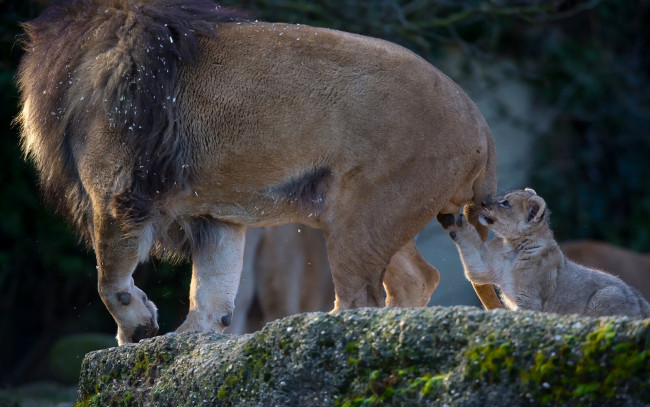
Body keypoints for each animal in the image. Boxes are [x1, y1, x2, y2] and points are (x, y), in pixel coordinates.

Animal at [17, 0, 498, 346]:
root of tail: (481, 125)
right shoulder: (210, 213)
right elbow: (212, 290)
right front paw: (188, 341)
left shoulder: (118, 193)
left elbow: (109, 281)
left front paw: (137, 330)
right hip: (366, 214)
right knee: (418, 277)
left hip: (362, 214)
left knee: (361, 295)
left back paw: (316, 335)